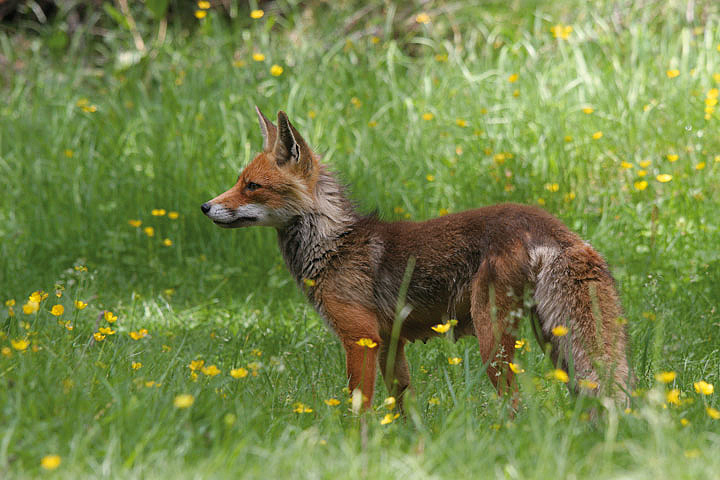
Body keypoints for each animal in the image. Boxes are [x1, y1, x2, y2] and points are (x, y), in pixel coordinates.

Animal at [202, 107, 632, 410]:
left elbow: (358, 410)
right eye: (238, 181)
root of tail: (549, 223)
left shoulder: (360, 339)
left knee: (516, 402)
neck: (334, 247)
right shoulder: (391, 344)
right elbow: (401, 407)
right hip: (552, 338)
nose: (205, 207)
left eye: (252, 186)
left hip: (494, 340)